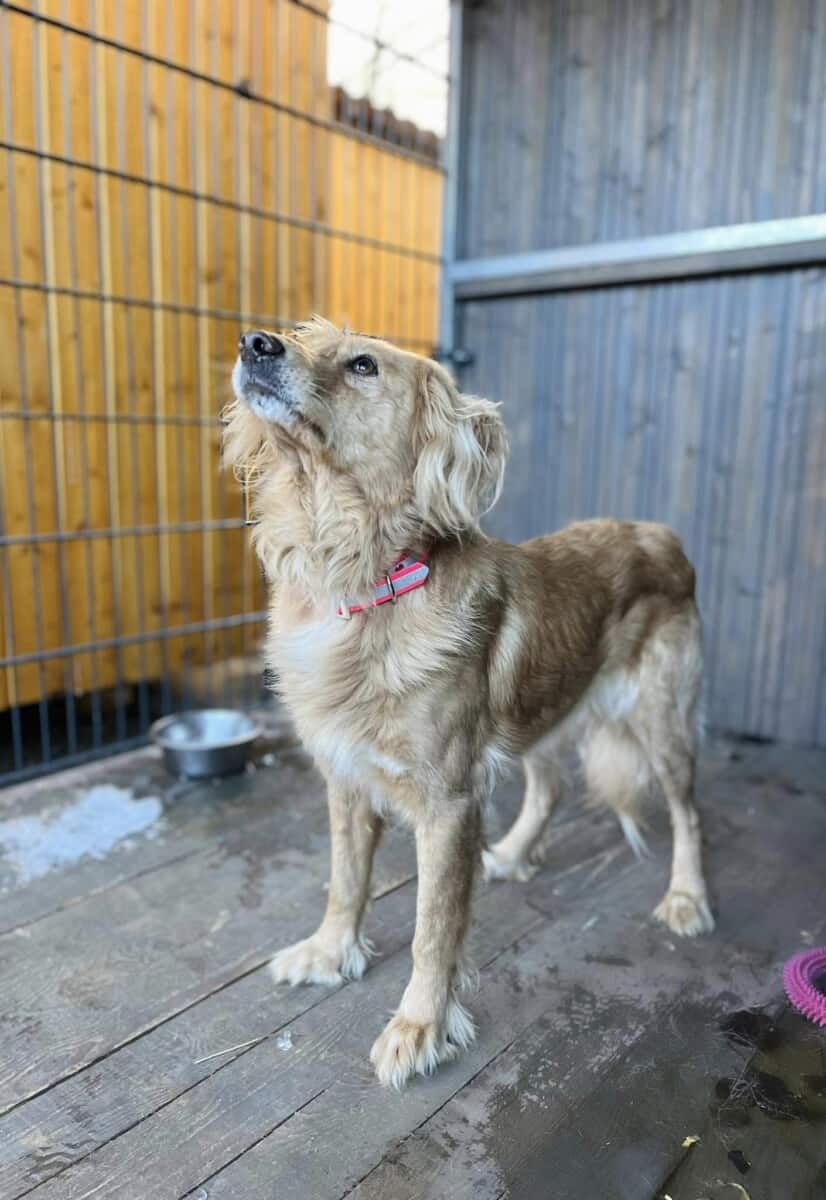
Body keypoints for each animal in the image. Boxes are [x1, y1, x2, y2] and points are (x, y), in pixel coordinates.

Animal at [224, 318, 714, 1089]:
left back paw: (687, 897)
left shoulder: (448, 801)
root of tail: (661, 535)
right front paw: (330, 952)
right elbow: (344, 880)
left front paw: (420, 1027)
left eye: (362, 364)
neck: (364, 577)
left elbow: (433, 926)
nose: (254, 343)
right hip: (538, 707)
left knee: (688, 812)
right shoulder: (346, 778)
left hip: (660, 719)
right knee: (549, 787)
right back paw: (510, 853)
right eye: (304, 335)